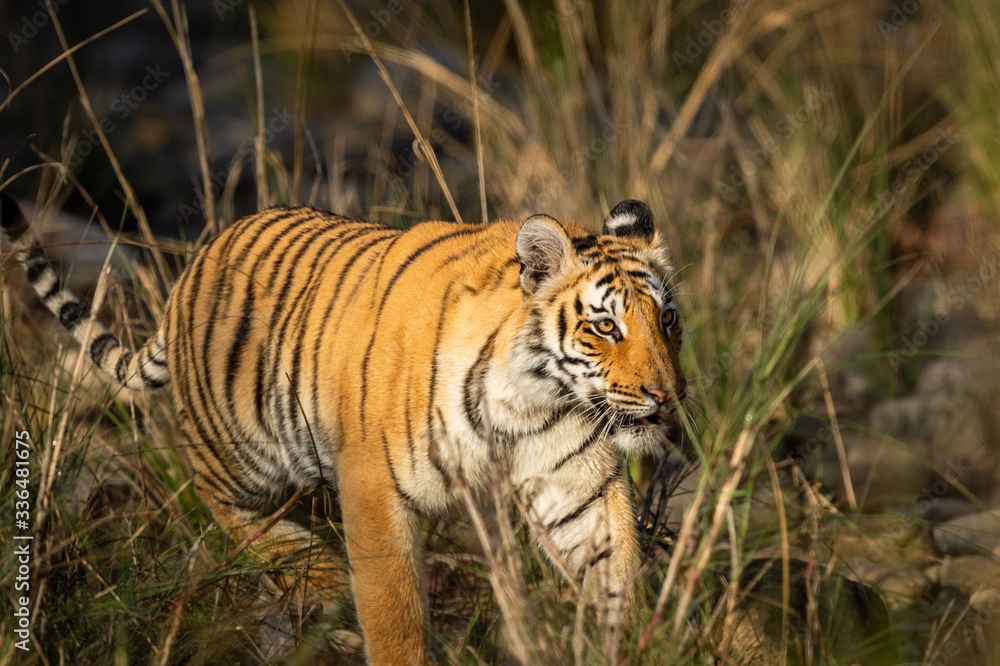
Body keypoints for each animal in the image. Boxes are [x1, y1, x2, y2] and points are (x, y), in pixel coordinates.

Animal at [1, 193, 685, 665]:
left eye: (669, 320)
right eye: (606, 327)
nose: (666, 396)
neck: (533, 402)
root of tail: (192, 268)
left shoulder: (576, 484)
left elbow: (613, 568)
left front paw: (627, 641)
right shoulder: (373, 486)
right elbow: (394, 613)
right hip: (241, 451)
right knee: (223, 506)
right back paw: (320, 573)